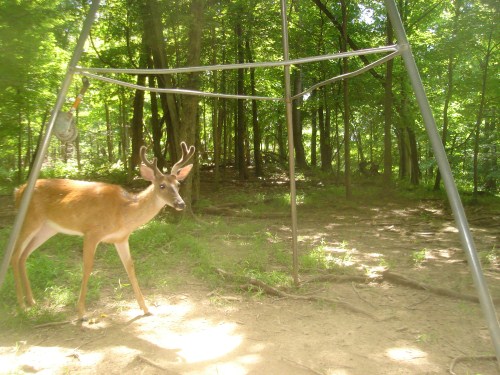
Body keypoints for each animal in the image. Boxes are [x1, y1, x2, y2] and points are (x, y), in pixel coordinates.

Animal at [11, 141, 195, 320]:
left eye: (178, 184)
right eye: (162, 185)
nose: (181, 204)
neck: (123, 212)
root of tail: (18, 190)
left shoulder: (121, 238)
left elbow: (130, 267)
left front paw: (145, 308)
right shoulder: (92, 232)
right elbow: (87, 267)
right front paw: (81, 313)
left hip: (47, 228)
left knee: (24, 255)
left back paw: (32, 301)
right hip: (29, 219)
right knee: (15, 254)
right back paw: (21, 305)